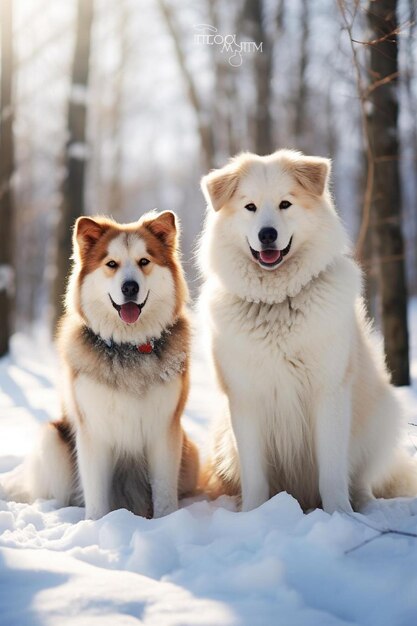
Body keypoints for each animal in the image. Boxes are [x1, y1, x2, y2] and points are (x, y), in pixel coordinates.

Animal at [3, 210, 198, 516]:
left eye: (144, 261)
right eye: (111, 264)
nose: (129, 287)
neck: (128, 345)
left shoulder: (165, 429)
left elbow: (165, 492)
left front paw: (168, 520)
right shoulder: (93, 430)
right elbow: (95, 494)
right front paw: (97, 523)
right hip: (51, 439)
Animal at [199, 149, 416, 510]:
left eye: (285, 204)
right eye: (250, 207)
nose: (267, 234)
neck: (277, 303)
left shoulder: (328, 392)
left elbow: (332, 473)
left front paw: (340, 515)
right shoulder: (245, 398)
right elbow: (255, 476)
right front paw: (254, 514)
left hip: (383, 416)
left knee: (361, 477)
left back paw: (364, 505)